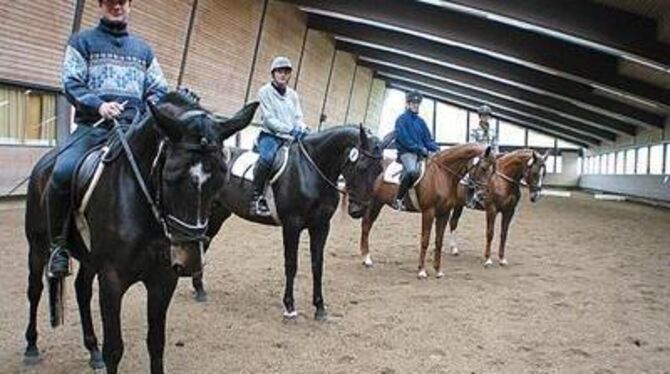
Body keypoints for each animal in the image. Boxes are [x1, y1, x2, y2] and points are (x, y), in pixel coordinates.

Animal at [23, 91, 260, 374]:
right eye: (170, 176)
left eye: (222, 178)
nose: (190, 261)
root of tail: (43, 165)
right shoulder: (112, 280)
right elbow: (114, 349)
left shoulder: (162, 280)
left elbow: (156, 343)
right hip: (37, 246)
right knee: (35, 289)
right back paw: (31, 347)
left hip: (90, 259)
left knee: (82, 290)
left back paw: (92, 351)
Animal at [193, 125, 384, 318]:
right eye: (361, 167)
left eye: (379, 170)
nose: (359, 210)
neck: (311, 171)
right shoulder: (292, 225)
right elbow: (291, 264)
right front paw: (290, 307)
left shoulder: (321, 226)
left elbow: (317, 265)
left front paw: (320, 307)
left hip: (219, 213)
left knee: (205, 242)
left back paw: (199, 288)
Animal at [360, 143, 496, 278]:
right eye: (483, 168)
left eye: (493, 171)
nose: (483, 195)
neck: (442, 175)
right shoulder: (428, 212)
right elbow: (425, 240)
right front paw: (421, 271)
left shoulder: (444, 213)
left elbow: (439, 241)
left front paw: (438, 270)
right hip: (377, 202)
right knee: (367, 224)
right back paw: (367, 259)